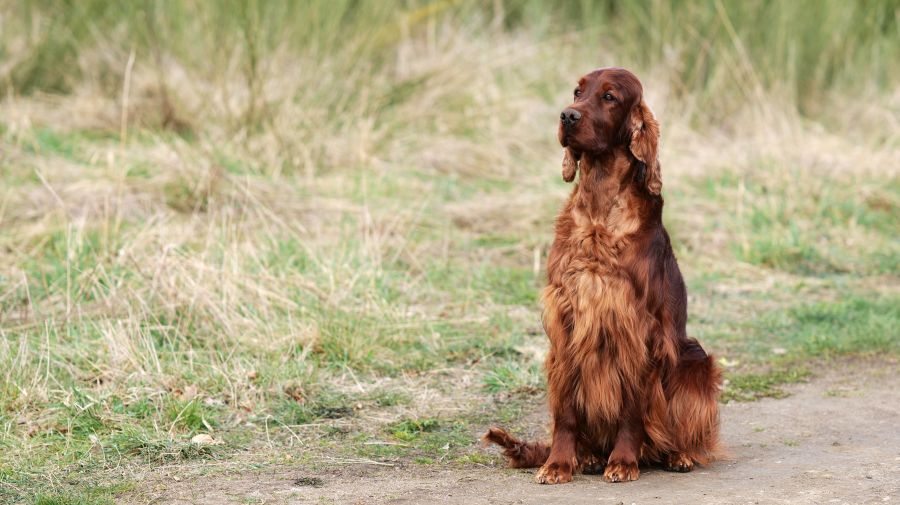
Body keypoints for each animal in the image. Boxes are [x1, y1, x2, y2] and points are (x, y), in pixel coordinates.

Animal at [482, 68, 720, 484]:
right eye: (578, 91)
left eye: (610, 96)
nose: (567, 115)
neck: (599, 205)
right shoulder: (566, 321)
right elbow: (565, 412)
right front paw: (559, 463)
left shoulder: (637, 326)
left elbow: (632, 408)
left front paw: (622, 461)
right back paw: (589, 455)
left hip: (695, 361)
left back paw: (675, 454)